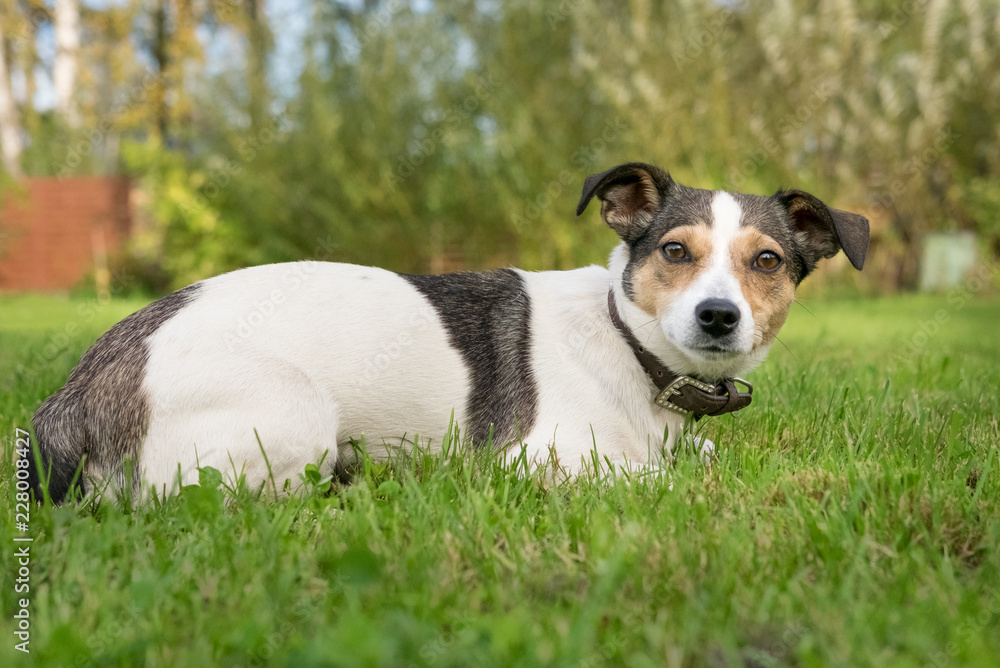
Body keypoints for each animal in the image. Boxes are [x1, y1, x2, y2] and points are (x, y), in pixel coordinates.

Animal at [25, 164, 868, 504]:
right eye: (674, 252)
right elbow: (663, 479)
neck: (626, 347)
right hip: (296, 412)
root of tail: (72, 398)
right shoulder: (541, 456)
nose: (718, 316)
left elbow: (705, 455)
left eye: (767, 261)